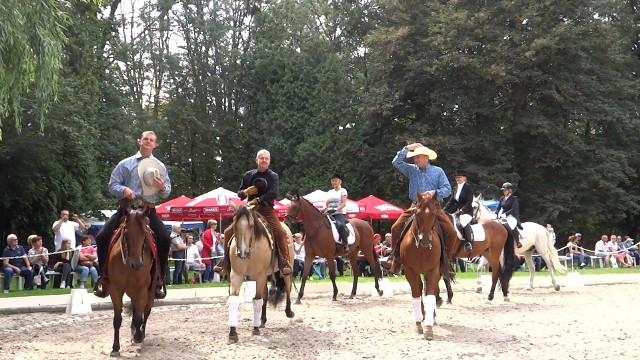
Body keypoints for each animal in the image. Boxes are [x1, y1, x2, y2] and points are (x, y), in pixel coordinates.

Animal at [107, 202, 158, 358]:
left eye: (144, 233)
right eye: (126, 233)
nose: (137, 264)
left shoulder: (142, 290)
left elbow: (138, 318)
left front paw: (138, 336)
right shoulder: (115, 289)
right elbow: (117, 319)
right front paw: (115, 348)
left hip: (148, 293)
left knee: (145, 313)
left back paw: (140, 334)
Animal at [226, 205, 294, 344]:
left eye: (251, 225)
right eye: (234, 225)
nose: (242, 252)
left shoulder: (260, 275)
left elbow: (257, 300)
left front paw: (255, 328)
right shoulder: (236, 274)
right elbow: (234, 300)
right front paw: (233, 333)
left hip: (286, 271)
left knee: (288, 287)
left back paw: (289, 312)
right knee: (266, 294)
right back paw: (262, 320)